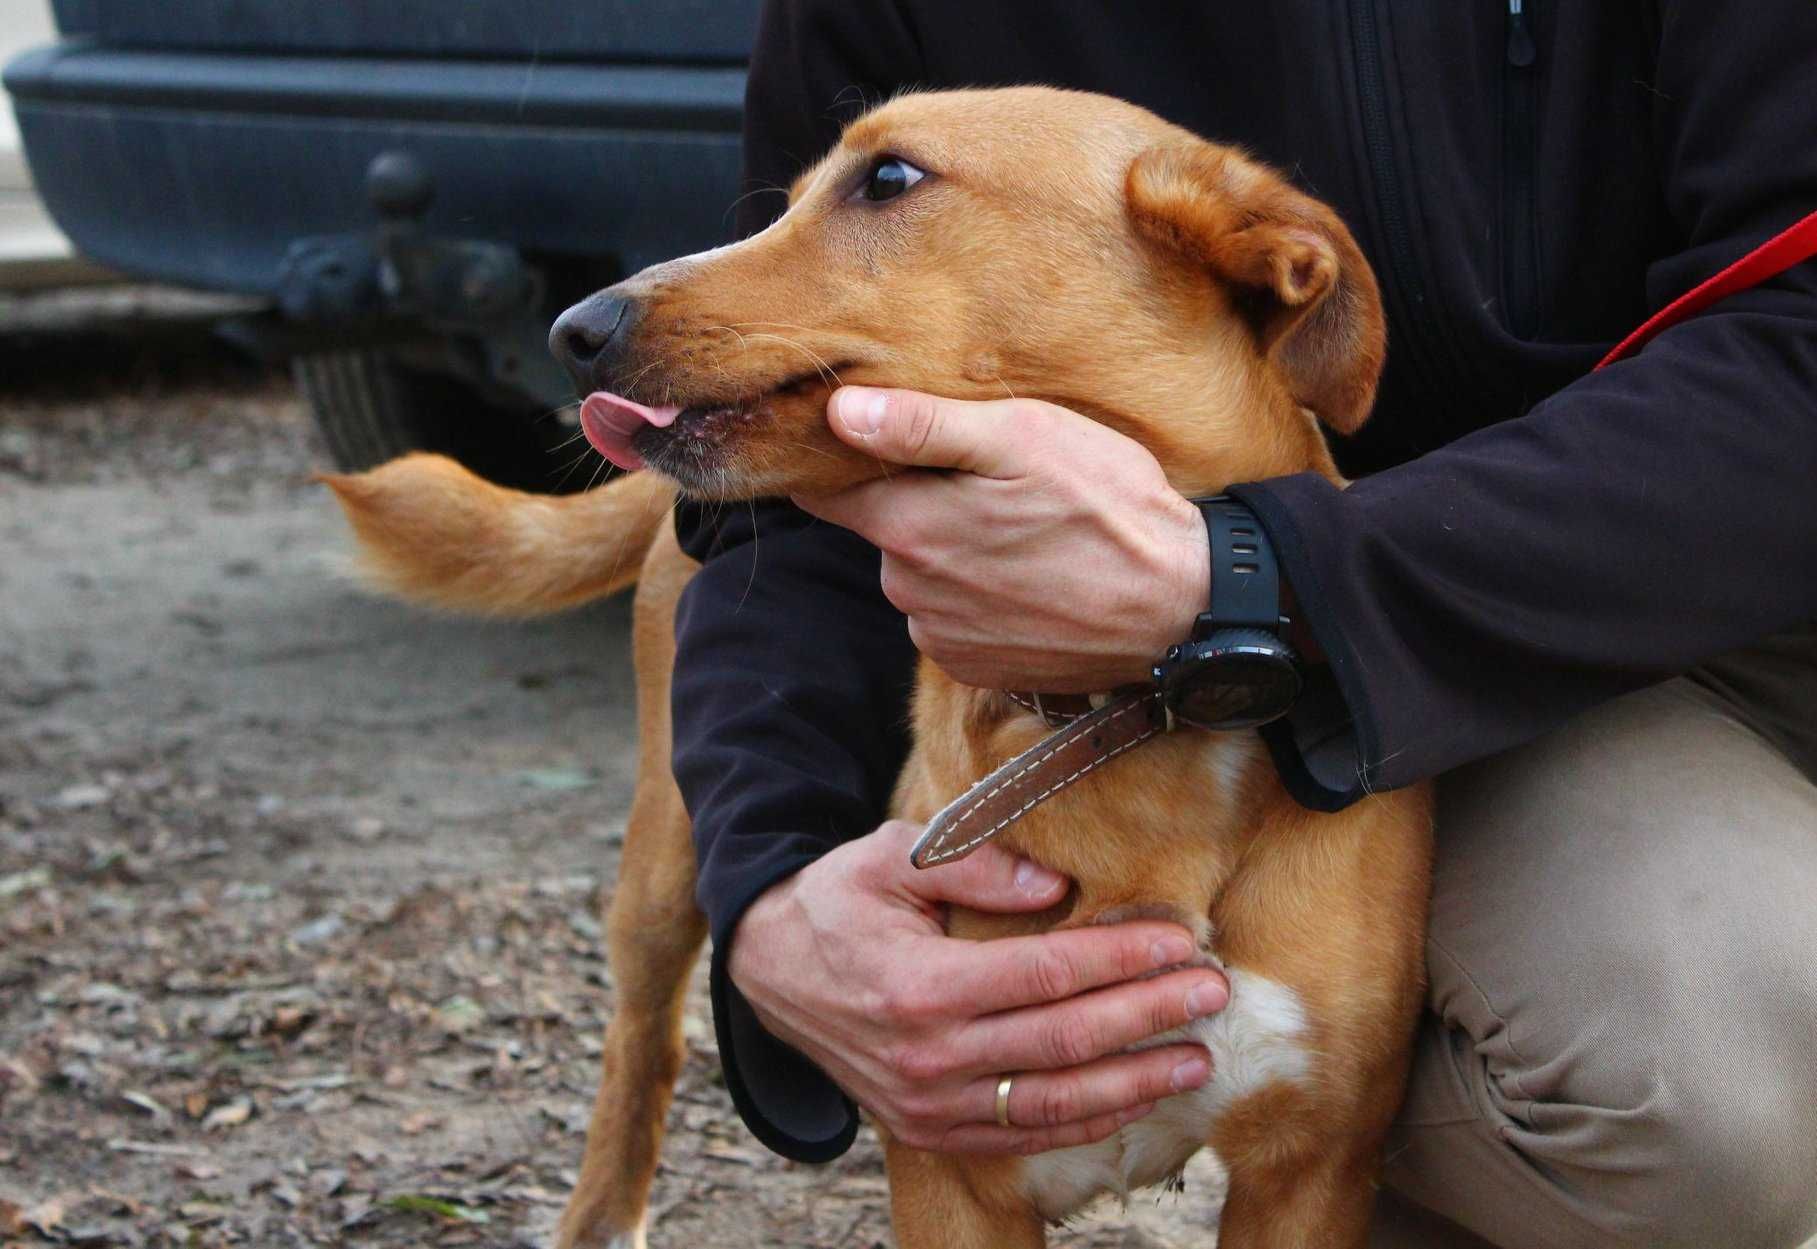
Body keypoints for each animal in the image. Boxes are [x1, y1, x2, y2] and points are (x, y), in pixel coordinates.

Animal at [327, 88, 1431, 1249]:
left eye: (889, 178)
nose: (572, 332)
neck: (1134, 718)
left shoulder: (1311, 1171)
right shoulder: (953, 1162)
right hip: (663, 861)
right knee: (643, 1037)